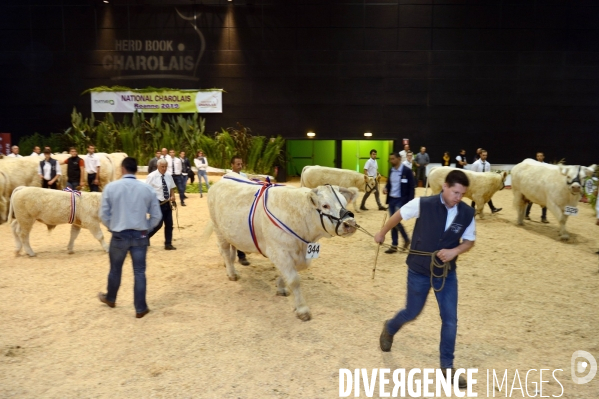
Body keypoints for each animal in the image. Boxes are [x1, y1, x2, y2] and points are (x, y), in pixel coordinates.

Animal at [207, 175, 356, 322]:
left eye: (344, 203)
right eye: (325, 205)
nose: (350, 223)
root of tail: (224, 177)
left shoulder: (299, 256)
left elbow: (291, 273)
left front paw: (281, 286)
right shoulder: (279, 251)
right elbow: (294, 280)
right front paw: (302, 309)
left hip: (230, 232)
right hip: (218, 229)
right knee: (225, 251)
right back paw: (232, 273)